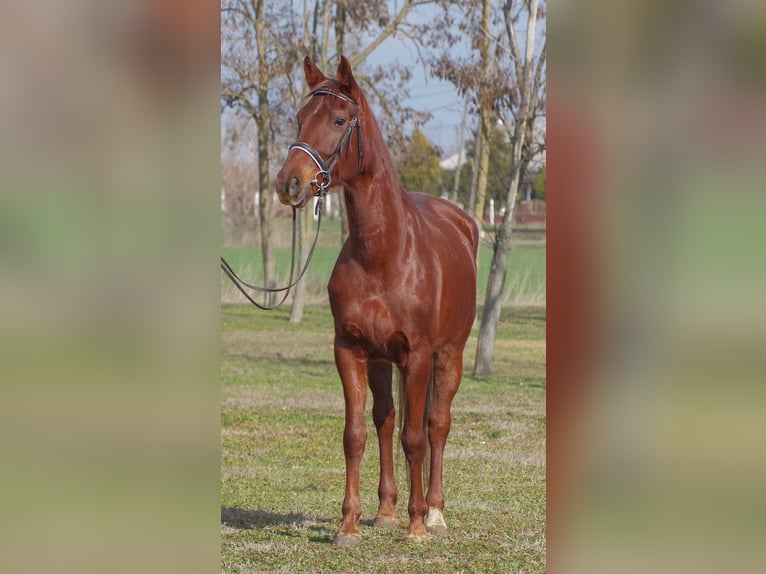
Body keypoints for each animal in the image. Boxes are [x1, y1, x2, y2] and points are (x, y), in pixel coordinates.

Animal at [276, 56, 480, 548]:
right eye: (299, 118)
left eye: (339, 120)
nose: (289, 183)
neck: (384, 254)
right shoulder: (350, 350)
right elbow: (355, 434)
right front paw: (348, 525)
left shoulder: (419, 355)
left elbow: (416, 438)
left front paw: (417, 527)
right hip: (383, 361)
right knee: (385, 420)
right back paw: (387, 511)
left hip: (449, 355)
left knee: (437, 424)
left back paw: (435, 512)